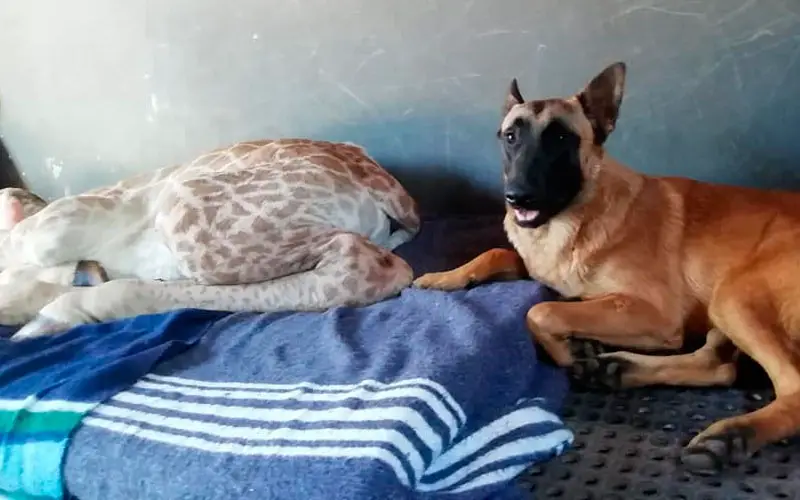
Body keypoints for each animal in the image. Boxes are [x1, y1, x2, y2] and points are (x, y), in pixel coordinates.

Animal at [412, 61, 800, 472]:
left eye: (561, 138)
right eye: (511, 137)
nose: (517, 197)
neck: (575, 220)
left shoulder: (656, 315)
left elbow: (542, 310)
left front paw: (569, 351)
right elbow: (496, 253)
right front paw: (445, 277)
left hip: (731, 297)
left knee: (791, 388)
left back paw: (732, 435)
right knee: (720, 365)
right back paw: (618, 369)